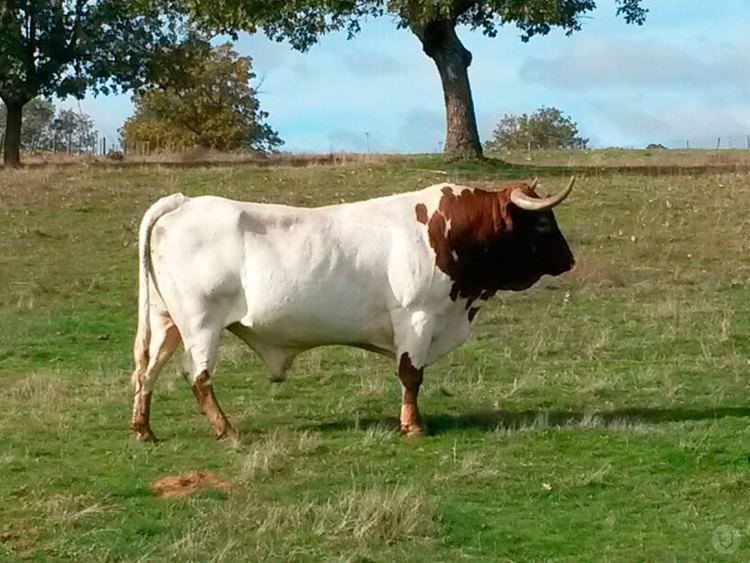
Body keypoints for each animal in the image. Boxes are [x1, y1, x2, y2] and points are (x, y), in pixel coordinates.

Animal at [131, 177, 576, 440]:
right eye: (542, 223)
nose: (569, 259)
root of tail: (184, 201)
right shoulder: (416, 318)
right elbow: (411, 375)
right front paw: (413, 425)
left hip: (166, 320)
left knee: (147, 370)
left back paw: (143, 429)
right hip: (201, 323)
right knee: (197, 375)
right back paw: (226, 430)